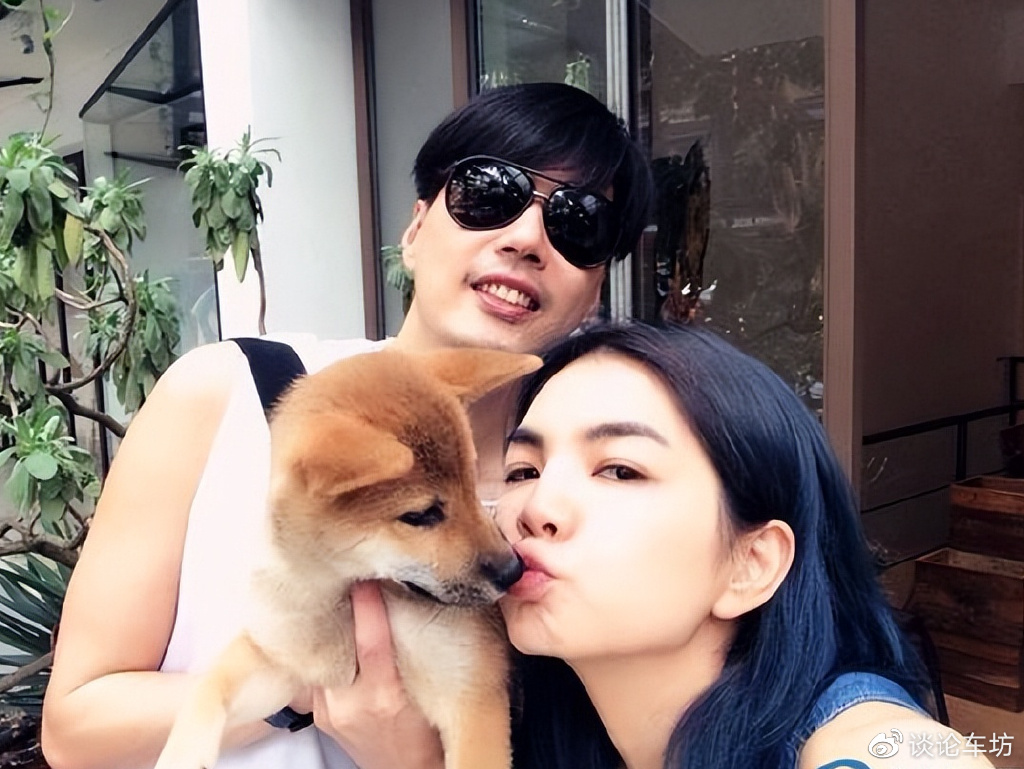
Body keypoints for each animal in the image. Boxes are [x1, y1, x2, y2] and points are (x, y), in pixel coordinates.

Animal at [153, 346, 541, 769]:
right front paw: (181, 753)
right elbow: (210, 687)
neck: (345, 596)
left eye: (473, 487)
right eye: (421, 515)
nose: (513, 571)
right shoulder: (287, 660)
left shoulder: (471, 696)